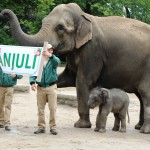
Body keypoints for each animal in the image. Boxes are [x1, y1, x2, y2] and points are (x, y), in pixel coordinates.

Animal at [0, 2, 150, 133]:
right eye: (43, 22)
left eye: (60, 28)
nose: (3, 14)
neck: (84, 16)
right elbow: (66, 78)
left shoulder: (92, 50)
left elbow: (82, 81)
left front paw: (81, 125)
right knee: (140, 95)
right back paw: (138, 127)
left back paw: (141, 129)